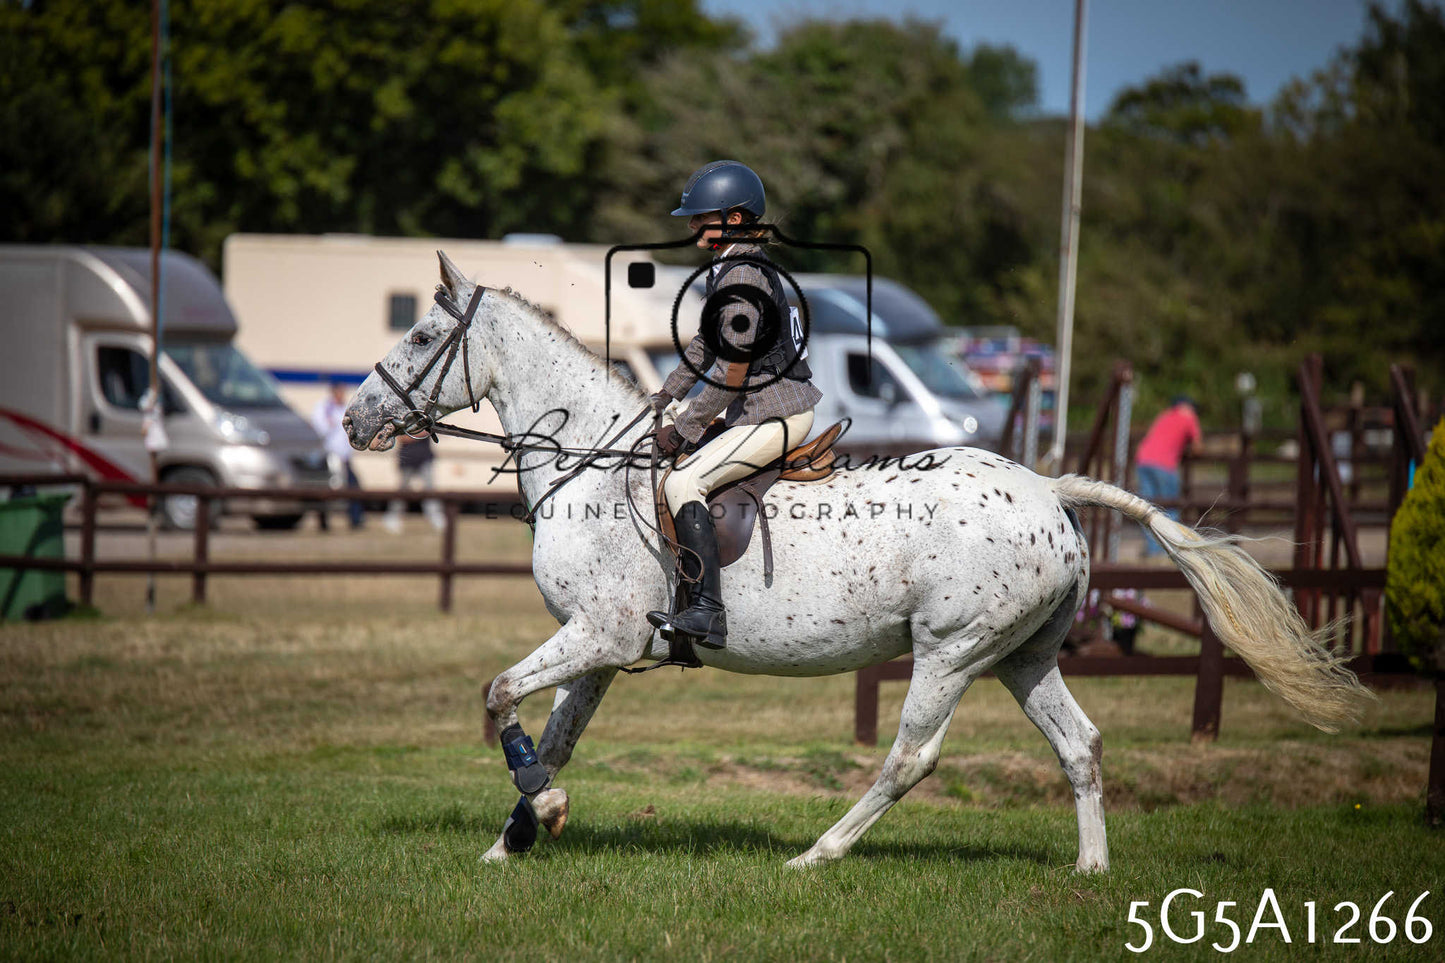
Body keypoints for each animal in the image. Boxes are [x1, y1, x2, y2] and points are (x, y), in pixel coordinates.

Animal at [342, 252, 1370, 872]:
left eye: (422, 337)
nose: (355, 419)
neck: (590, 463)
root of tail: (1047, 490)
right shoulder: (598, 648)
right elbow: (550, 731)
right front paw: (518, 835)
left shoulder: (598, 634)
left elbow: (497, 695)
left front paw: (537, 816)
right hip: (1023, 656)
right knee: (1078, 743)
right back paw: (1090, 868)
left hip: (951, 650)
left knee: (911, 755)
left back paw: (819, 853)